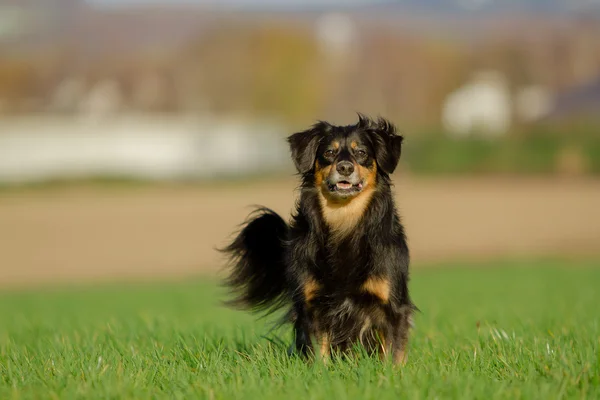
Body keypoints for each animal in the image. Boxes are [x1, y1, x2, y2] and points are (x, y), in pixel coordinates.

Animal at [221, 114, 418, 364]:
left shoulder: (393, 307)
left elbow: (393, 355)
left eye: (361, 152)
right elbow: (318, 356)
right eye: (329, 153)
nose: (345, 167)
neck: (343, 220)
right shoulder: (312, 307)